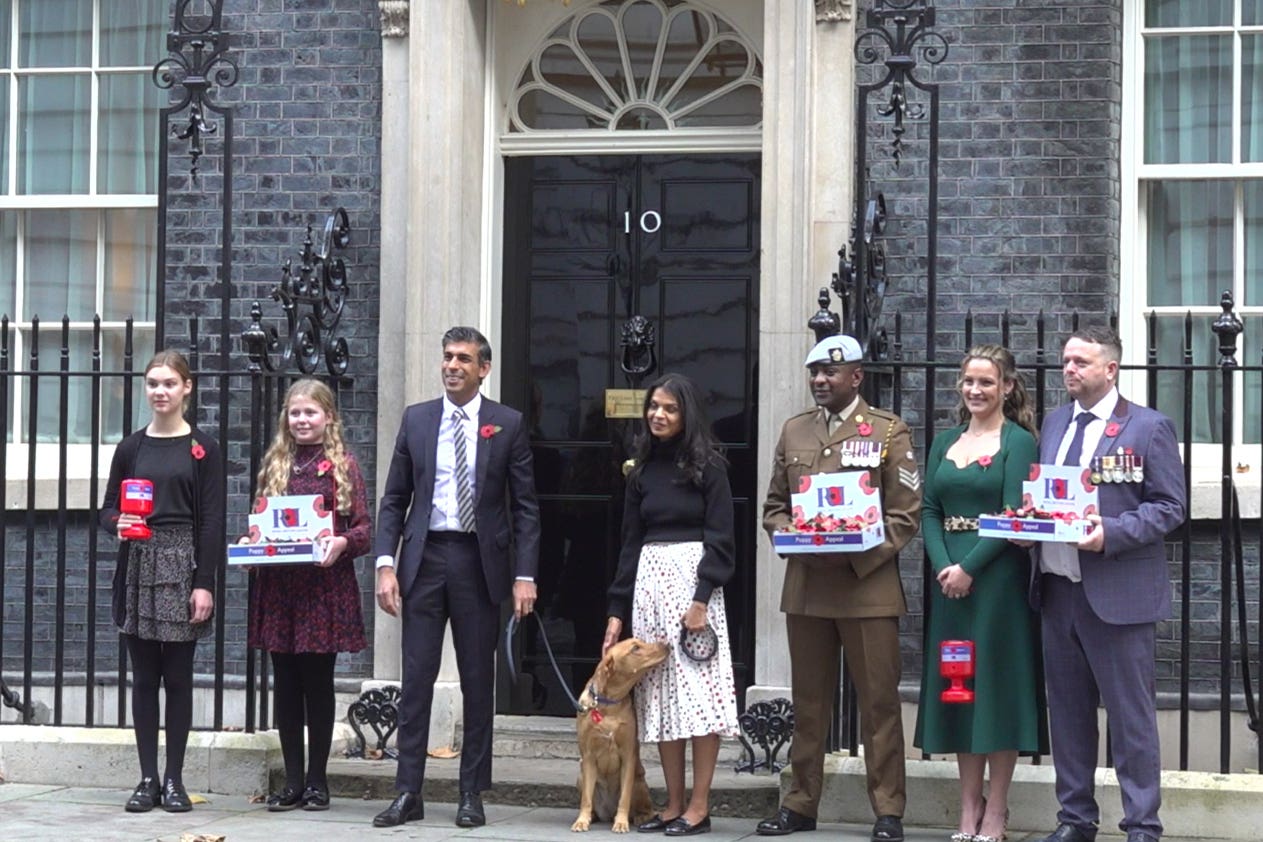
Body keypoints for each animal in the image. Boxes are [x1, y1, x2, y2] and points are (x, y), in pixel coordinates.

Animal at [573, 636, 671, 833]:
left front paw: (621, 822)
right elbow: (586, 799)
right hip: (580, 777)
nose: (667, 643)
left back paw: (641, 817)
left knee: (645, 808)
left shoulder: (628, 756)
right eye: (635, 648)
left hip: (639, 783)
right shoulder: (588, 756)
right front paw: (582, 820)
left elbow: (624, 797)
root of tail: (607, 814)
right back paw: (593, 816)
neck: (609, 704)